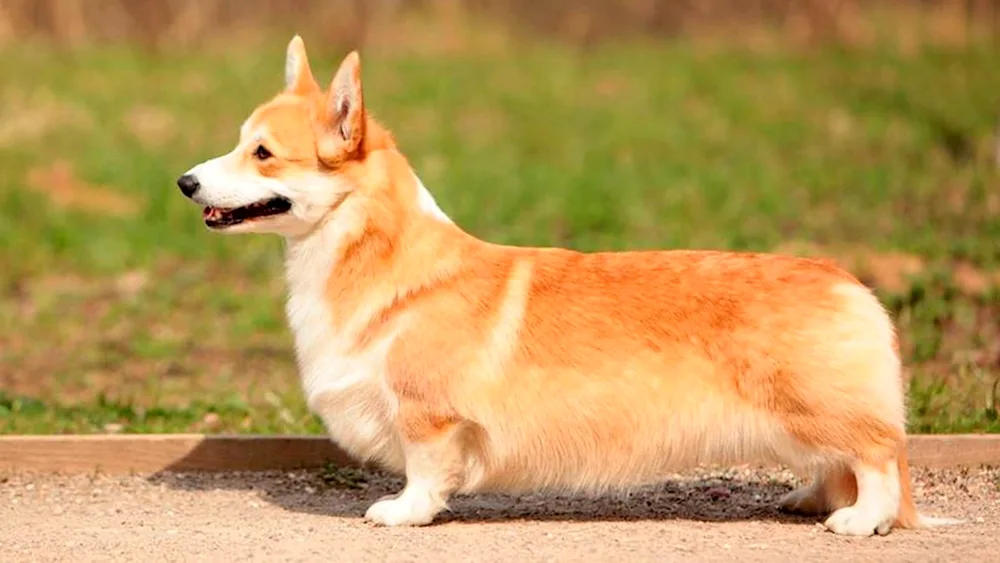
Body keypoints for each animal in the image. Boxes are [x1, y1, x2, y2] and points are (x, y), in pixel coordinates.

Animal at [180, 35, 960, 536]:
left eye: (262, 154)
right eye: (239, 142)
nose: (184, 182)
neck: (377, 257)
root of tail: (853, 285)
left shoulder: (427, 414)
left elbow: (426, 471)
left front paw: (402, 513)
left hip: (816, 410)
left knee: (877, 457)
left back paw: (858, 521)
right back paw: (808, 500)